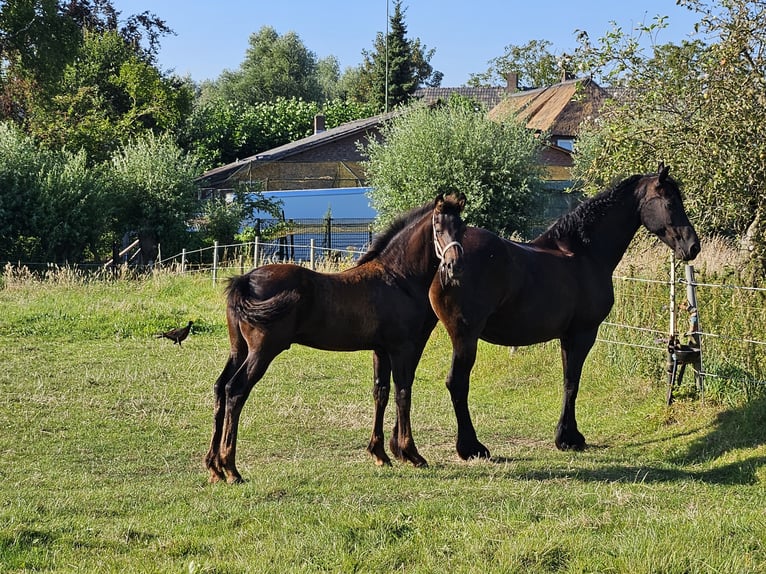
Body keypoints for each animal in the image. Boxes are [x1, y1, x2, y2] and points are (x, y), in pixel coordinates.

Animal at [206, 195, 468, 486]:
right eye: (438, 227)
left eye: (461, 228)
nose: (455, 265)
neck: (399, 279)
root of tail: (244, 280)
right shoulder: (402, 348)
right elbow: (403, 393)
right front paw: (411, 454)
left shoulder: (381, 350)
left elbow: (381, 393)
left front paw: (380, 454)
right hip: (261, 352)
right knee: (235, 390)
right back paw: (231, 468)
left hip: (238, 349)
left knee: (220, 388)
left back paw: (214, 467)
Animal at [428, 164, 700, 462]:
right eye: (670, 202)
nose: (693, 246)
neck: (584, 252)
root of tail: (445, 260)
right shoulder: (582, 333)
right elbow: (572, 383)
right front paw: (569, 438)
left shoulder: (567, 336)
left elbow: (568, 381)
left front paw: (566, 435)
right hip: (465, 336)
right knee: (457, 383)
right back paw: (471, 447)